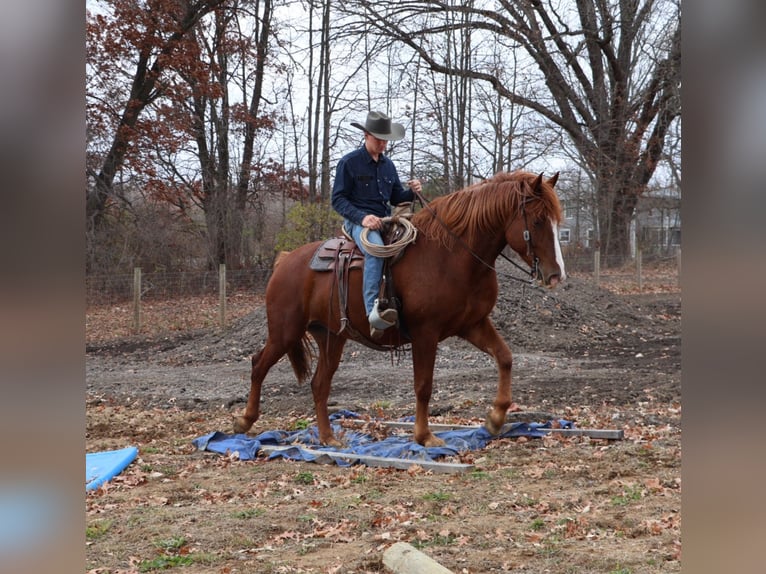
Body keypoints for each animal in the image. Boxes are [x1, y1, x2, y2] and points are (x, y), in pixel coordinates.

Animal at [233, 170, 566, 447]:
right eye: (538, 220)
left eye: (556, 222)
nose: (555, 275)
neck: (453, 255)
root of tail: (286, 260)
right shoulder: (425, 333)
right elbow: (423, 385)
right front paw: (424, 435)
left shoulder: (473, 324)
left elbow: (505, 358)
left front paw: (495, 419)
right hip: (285, 332)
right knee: (258, 365)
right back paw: (245, 420)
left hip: (331, 337)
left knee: (319, 385)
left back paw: (328, 437)